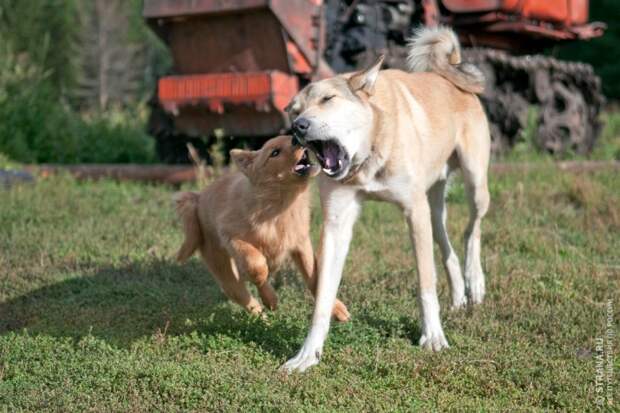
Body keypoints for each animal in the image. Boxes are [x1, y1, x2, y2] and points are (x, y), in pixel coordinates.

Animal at [173, 135, 348, 318]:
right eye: (274, 153)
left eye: (289, 137)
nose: (295, 138)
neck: (278, 206)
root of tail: (197, 198)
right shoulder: (231, 236)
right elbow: (256, 266)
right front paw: (268, 294)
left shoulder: (300, 242)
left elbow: (313, 274)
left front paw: (336, 308)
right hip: (221, 266)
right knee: (239, 291)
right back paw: (261, 311)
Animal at [284, 27, 492, 372]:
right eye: (294, 110)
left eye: (328, 99)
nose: (297, 128)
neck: (369, 154)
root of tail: (447, 74)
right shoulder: (336, 223)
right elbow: (323, 296)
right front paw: (308, 353)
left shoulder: (413, 211)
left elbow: (425, 283)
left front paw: (433, 337)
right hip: (434, 207)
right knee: (447, 244)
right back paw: (458, 296)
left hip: (475, 185)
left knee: (471, 231)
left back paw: (474, 282)